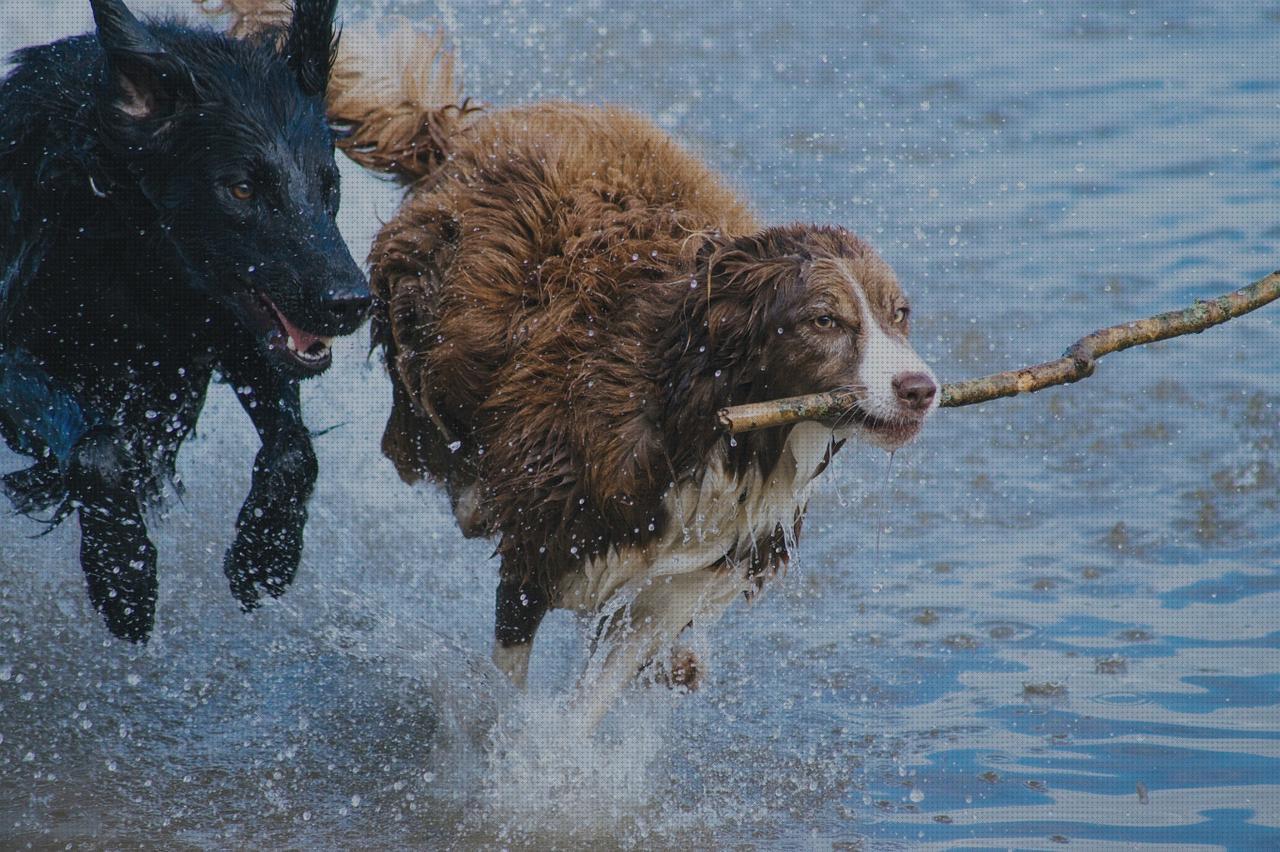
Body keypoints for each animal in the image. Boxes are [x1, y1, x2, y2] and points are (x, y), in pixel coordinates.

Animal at [0, 0, 371, 637]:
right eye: (241, 188)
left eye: (330, 184)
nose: (350, 302)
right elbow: (98, 451)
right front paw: (123, 574)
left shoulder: (232, 329)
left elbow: (295, 451)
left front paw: (264, 555)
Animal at [202, 6, 942, 721]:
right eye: (825, 321)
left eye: (900, 313)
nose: (921, 388)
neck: (715, 421)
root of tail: (464, 133)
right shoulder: (545, 543)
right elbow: (511, 678)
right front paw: (504, 750)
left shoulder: (681, 577)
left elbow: (599, 692)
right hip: (425, 335)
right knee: (422, 432)